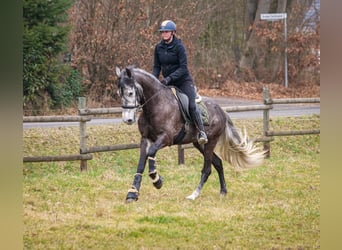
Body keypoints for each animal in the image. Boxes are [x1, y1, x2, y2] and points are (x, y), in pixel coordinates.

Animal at [115, 65, 264, 202]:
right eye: (119, 93)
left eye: (130, 93)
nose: (128, 119)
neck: (155, 105)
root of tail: (222, 111)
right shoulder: (145, 139)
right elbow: (141, 164)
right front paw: (132, 193)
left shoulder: (166, 138)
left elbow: (151, 152)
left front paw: (157, 180)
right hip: (199, 144)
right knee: (218, 163)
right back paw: (223, 191)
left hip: (211, 141)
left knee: (207, 169)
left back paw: (193, 195)